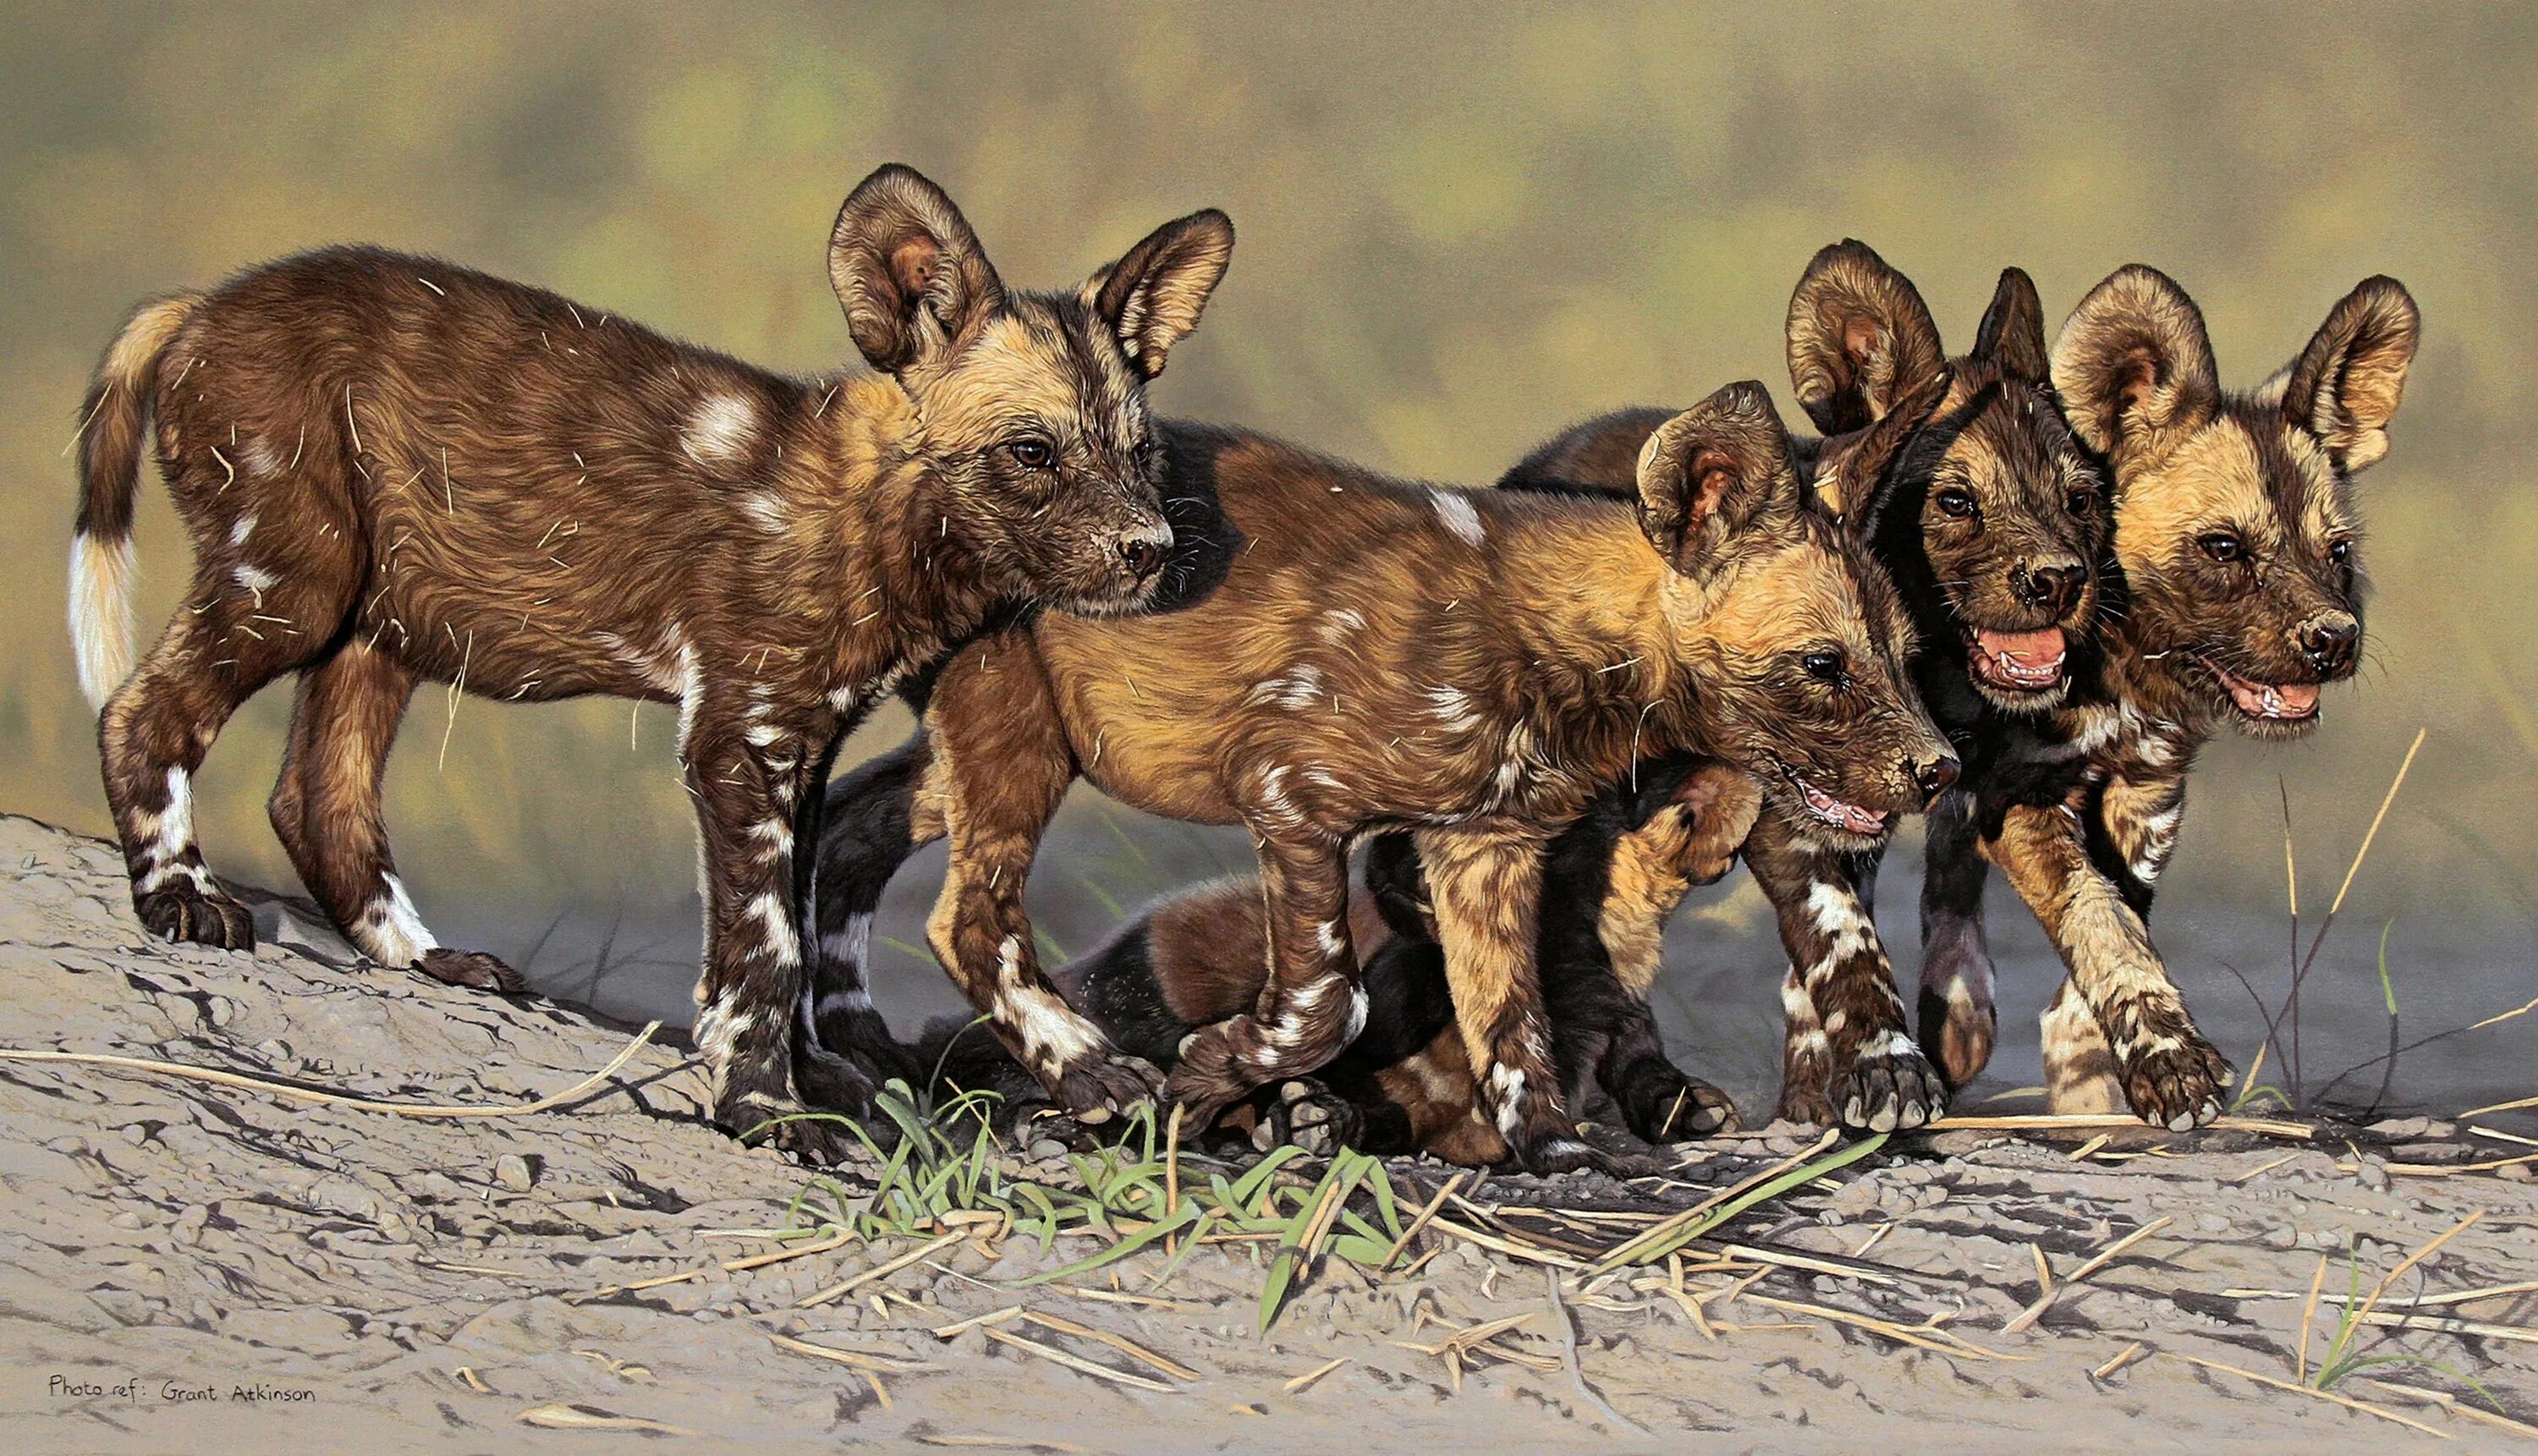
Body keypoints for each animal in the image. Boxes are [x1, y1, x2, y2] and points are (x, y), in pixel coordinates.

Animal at [64, 162, 1233, 1167]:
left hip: (380, 627)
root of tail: (203, 303)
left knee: (317, 797)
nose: (1150, 550)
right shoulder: (738, 740)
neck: (868, 518)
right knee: (141, 711)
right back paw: (179, 899)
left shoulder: (801, 745)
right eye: (1033, 452)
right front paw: (765, 1109)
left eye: (1140, 452)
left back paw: (424, 959)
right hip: (292, 584)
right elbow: (768, 948)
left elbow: (785, 932)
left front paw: (811, 1079)